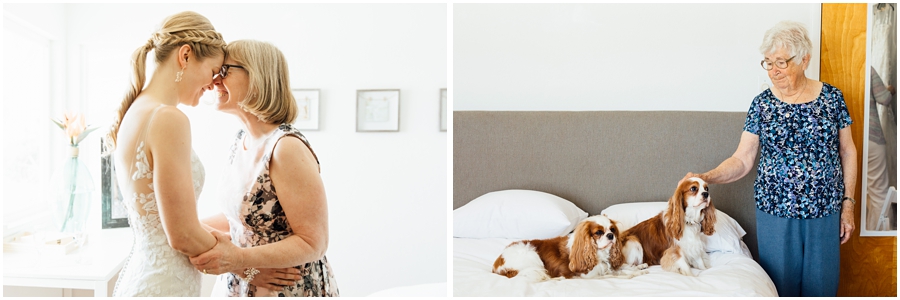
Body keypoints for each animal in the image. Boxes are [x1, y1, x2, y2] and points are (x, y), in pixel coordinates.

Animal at [492, 216, 648, 282]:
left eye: (612, 230)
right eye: (598, 232)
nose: (610, 235)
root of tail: (497, 264)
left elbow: (621, 267)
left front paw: (639, 267)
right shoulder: (587, 276)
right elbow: (614, 275)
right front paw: (632, 274)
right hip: (530, 254)